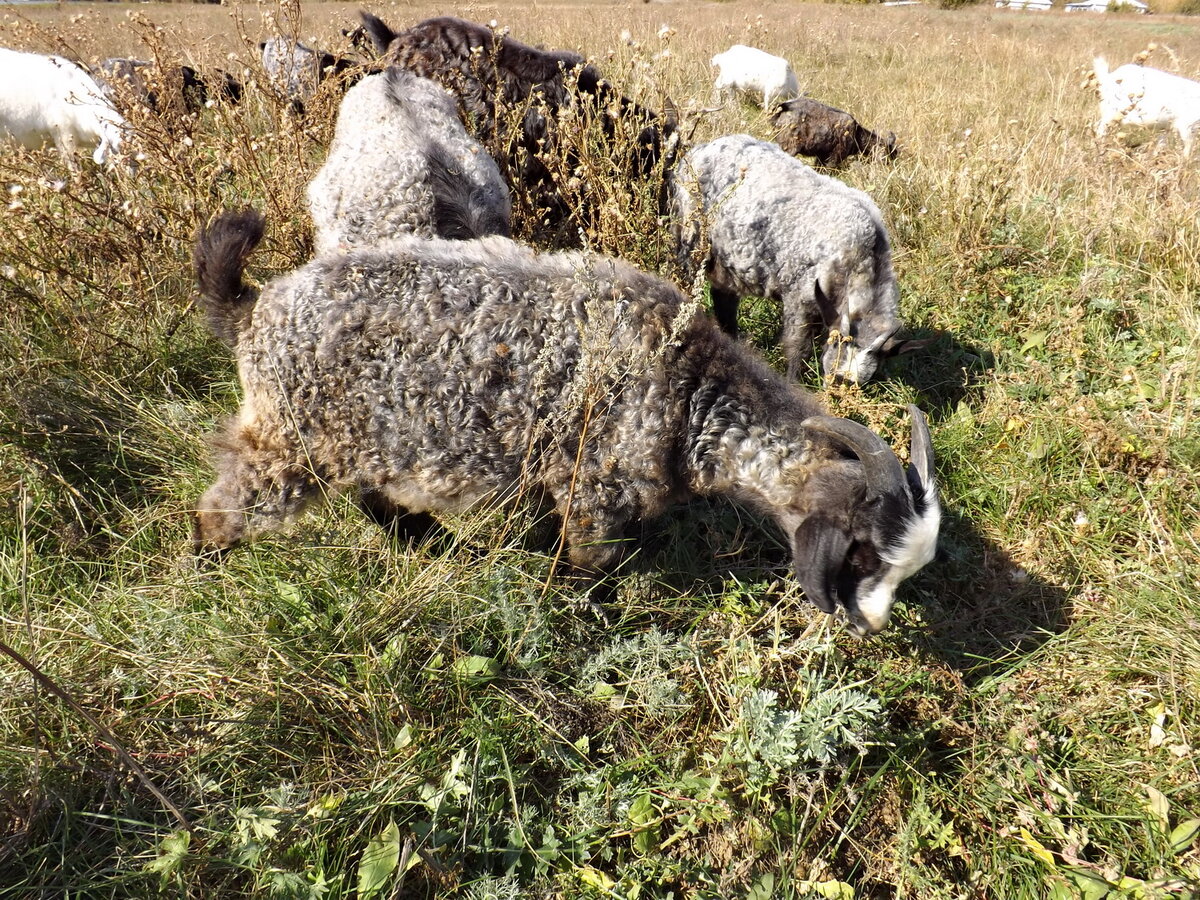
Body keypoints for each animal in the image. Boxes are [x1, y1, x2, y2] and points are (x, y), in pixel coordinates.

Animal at [192, 211, 940, 638]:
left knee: (373, 498)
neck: (690, 395)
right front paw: (579, 610)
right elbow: (588, 566)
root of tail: (253, 310)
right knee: (227, 505)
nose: (872, 627)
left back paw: (431, 542)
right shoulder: (595, 489)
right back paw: (205, 567)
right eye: (861, 555)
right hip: (285, 437)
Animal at [672, 133, 921, 384]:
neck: (862, 258)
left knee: (724, 301)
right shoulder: (800, 299)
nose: (832, 393)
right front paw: (794, 383)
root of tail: (699, 150)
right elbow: (798, 348)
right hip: (690, 238)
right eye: (836, 374)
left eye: (860, 383)